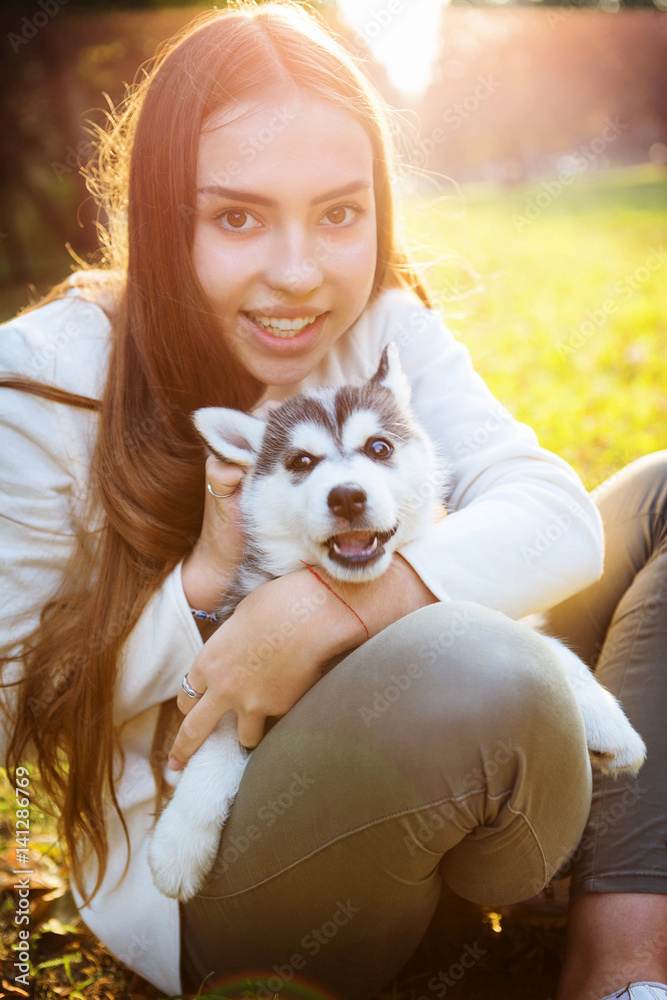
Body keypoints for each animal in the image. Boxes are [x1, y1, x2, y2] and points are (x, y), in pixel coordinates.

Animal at [150, 342, 648, 900]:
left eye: (379, 448)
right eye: (301, 462)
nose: (346, 495)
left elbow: (538, 640)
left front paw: (607, 719)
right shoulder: (236, 661)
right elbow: (219, 731)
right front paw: (179, 838)